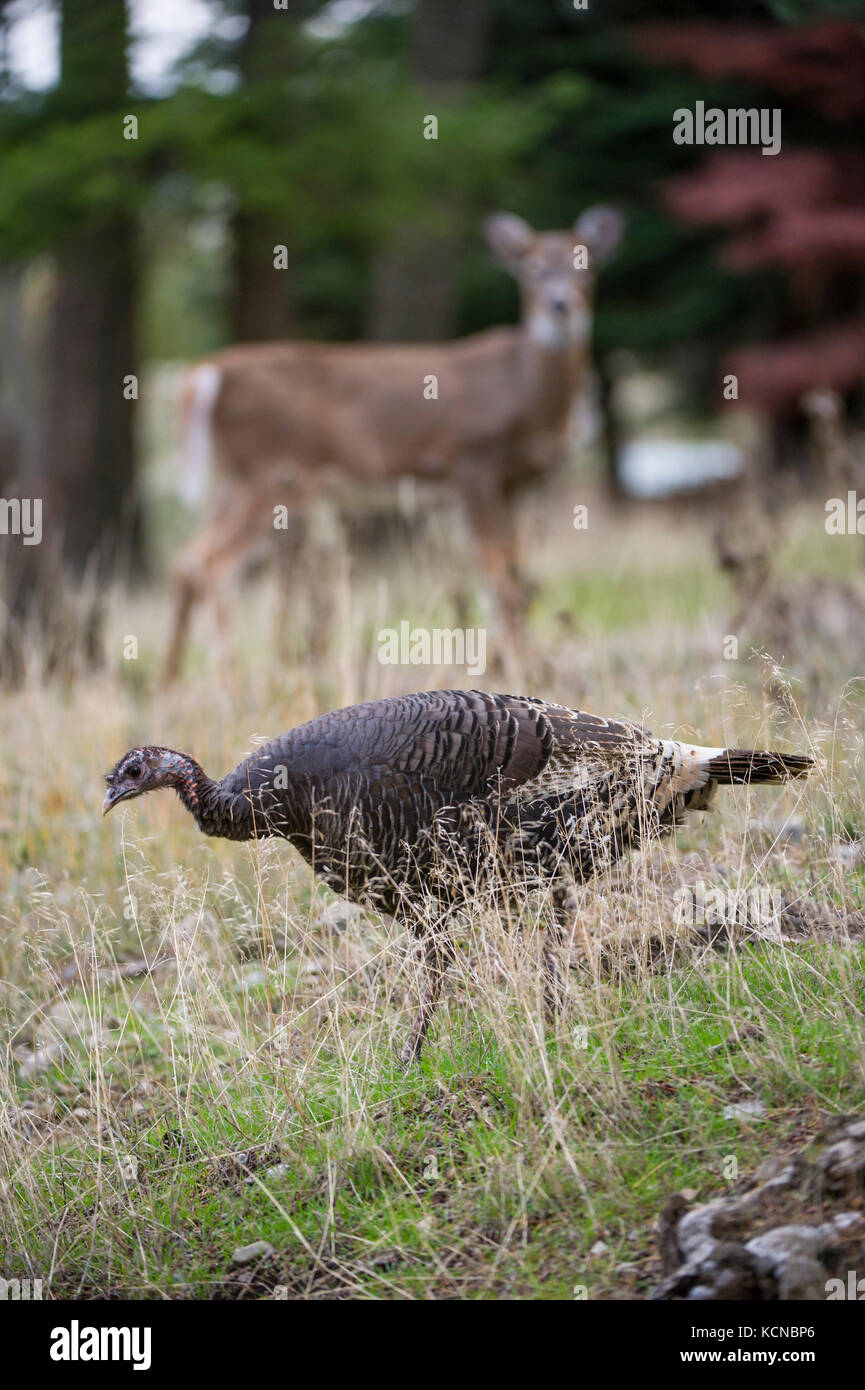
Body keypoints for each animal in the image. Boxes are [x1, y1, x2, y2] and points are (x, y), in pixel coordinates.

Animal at [162, 205, 623, 678]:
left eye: (586, 267)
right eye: (532, 269)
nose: (560, 305)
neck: (526, 391)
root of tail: (206, 374)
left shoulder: (518, 483)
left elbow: (516, 568)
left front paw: (515, 661)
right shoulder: (471, 462)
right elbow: (495, 569)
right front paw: (517, 667)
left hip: (231, 479)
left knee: (185, 559)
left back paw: (171, 679)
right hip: (272, 471)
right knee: (211, 565)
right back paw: (227, 678)